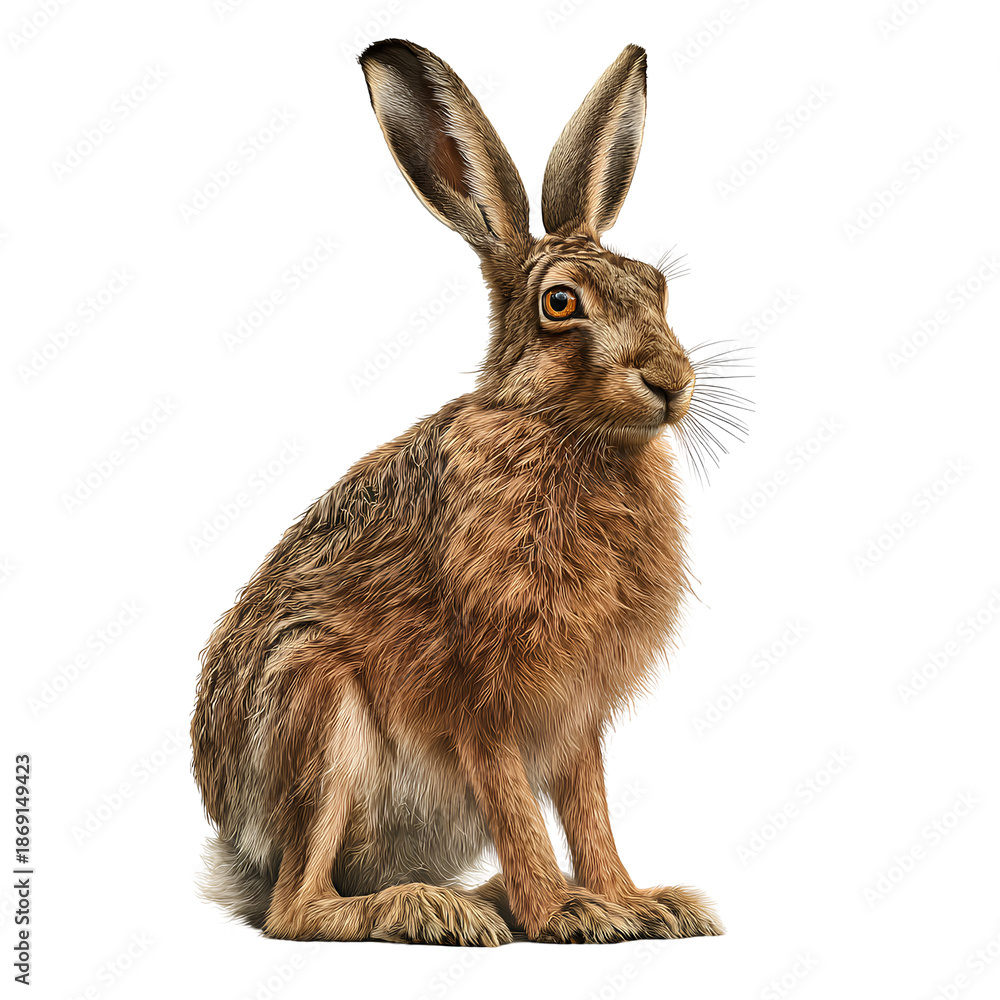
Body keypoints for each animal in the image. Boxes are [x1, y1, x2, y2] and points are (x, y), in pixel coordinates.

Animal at [191, 38, 740, 946]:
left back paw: (484, 900)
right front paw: (570, 916)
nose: (671, 383)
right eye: (561, 303)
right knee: (297, 909)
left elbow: (590, 811)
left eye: (657, 285)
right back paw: (434, 910)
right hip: (315, 707)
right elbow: (519, 809)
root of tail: (238, 846)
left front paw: (640, 903)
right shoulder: (479, 693)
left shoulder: (575, 717)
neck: (558, 431)